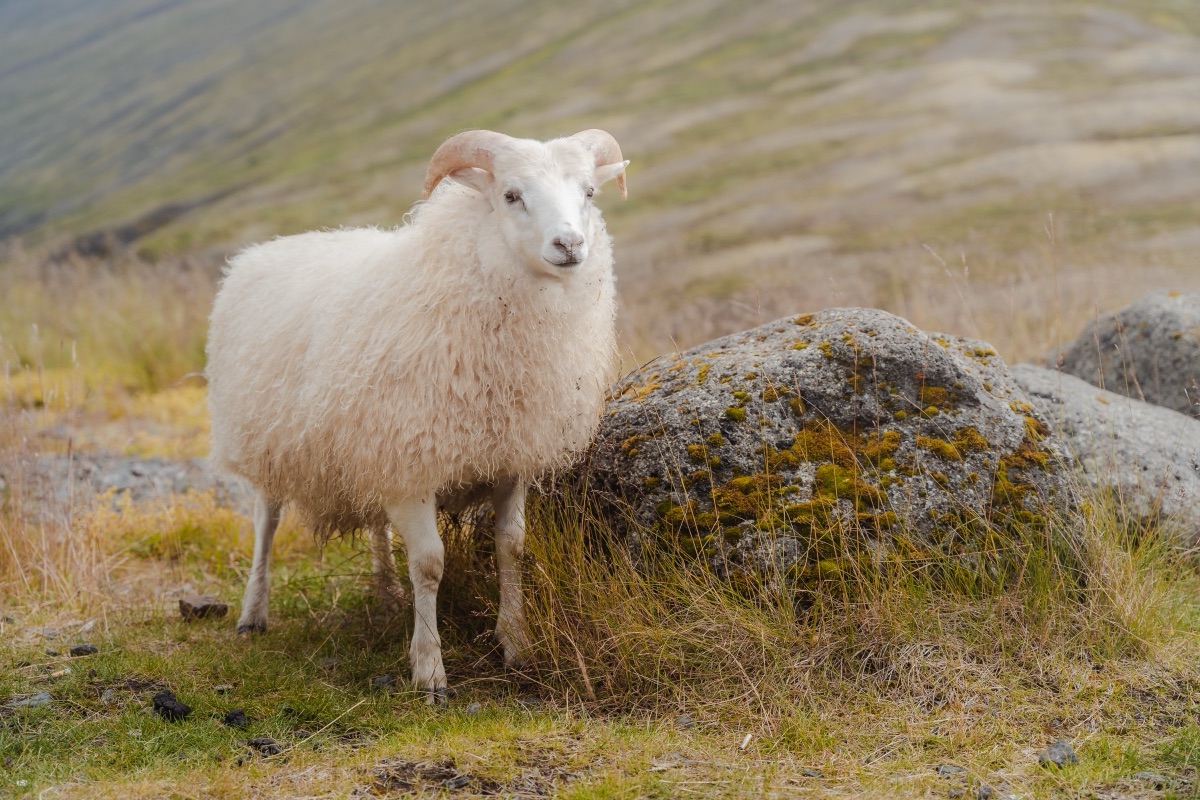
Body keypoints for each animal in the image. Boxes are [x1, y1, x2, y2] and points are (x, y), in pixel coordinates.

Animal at [205, 129, 628, 699]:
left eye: (588, 192)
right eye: (511, 195)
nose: (570, 246)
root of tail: (261, 251)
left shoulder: (508, 457)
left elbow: (511, 547)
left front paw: (516, 644)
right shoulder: (412, 463)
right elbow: (429, 564)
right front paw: (429, 671)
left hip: (365, 451)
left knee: (375, 527)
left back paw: (387, 595)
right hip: (270, 443)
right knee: (265, 525)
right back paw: (254, 613)